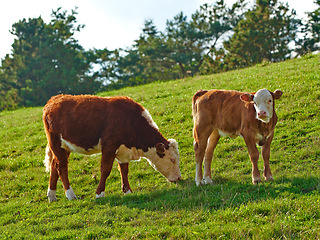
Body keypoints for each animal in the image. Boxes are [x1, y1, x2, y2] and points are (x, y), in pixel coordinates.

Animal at [42, 94, 181, 202]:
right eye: (172, 160)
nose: (179, 178)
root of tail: (54, 99)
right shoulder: (109, 147)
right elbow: (105, 170)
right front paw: (99, 194)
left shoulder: (124, 151)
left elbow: (124, 170)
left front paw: (128, 191)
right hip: (56, 143)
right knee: (61, 167)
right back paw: (71, 195)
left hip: (65, 147)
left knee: (54, 165)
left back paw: (52, 196)